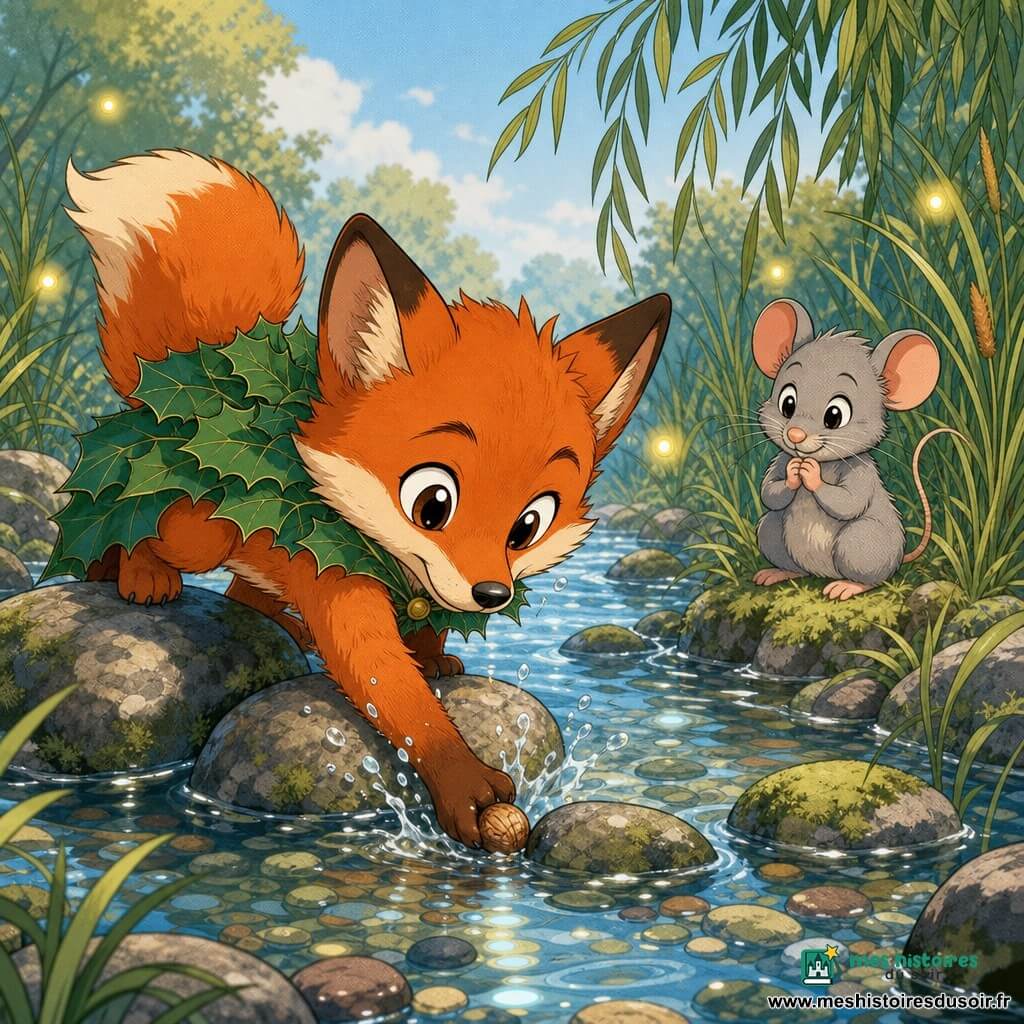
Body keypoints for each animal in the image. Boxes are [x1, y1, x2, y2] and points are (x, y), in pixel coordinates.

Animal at [63, 149, 670, 847]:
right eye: (433, 503)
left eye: (529, 525)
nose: (492, 594)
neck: (396, 566)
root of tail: (190, 380)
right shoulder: (337, 581)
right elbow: (396, 691)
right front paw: (462, 780)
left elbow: (426, 641)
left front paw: (434, 659)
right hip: (202, 528)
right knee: (141, 525)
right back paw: (136, 573)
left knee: (246, 592)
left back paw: (279, 621)